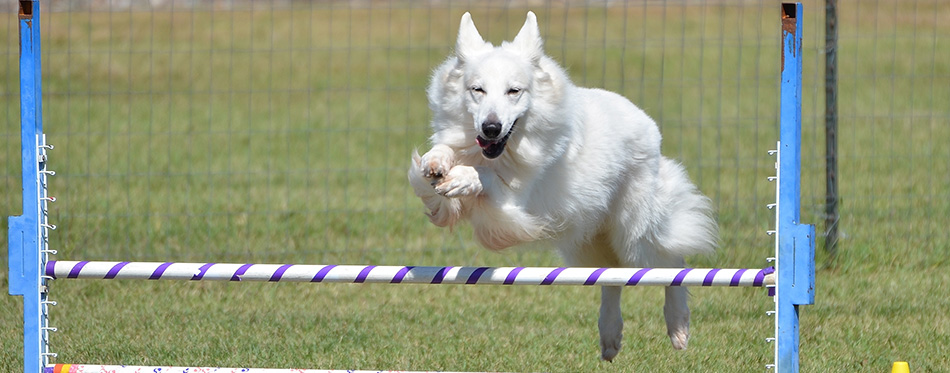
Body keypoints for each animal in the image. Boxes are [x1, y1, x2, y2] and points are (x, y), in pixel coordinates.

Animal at [406, 12, 716, 360]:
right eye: (478, 90)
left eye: (514, 91)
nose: (491, 127)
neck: (510, 147)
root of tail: (645, 120)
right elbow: (442, 164)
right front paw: (437, 162)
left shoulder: (513, 203)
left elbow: (483, 175)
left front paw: (462, 177)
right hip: (586, 238)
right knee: (611, 276)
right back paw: (610, 335)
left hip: (633, 236)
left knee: (672, 265)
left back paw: (678, 326)